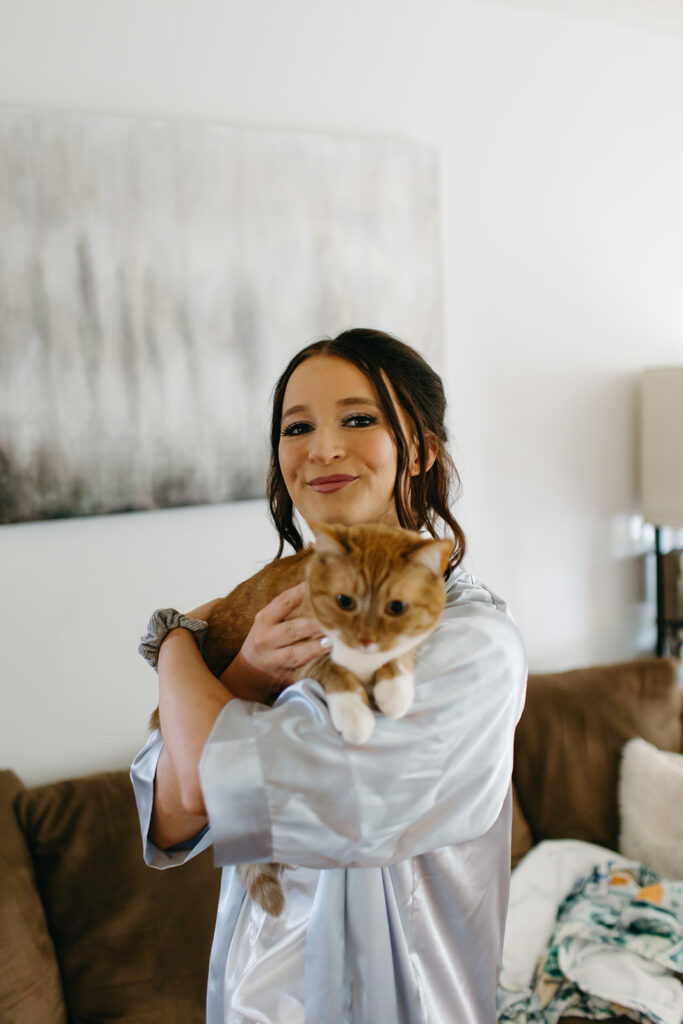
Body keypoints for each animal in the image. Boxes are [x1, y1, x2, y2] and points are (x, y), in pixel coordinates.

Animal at [148, 524, 454, 917]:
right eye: (344, 601)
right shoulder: (302, 652)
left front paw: (394, 687)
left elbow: (401, 653)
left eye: (396, 607)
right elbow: (333, 669)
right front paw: (356, 714)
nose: (365, 639)